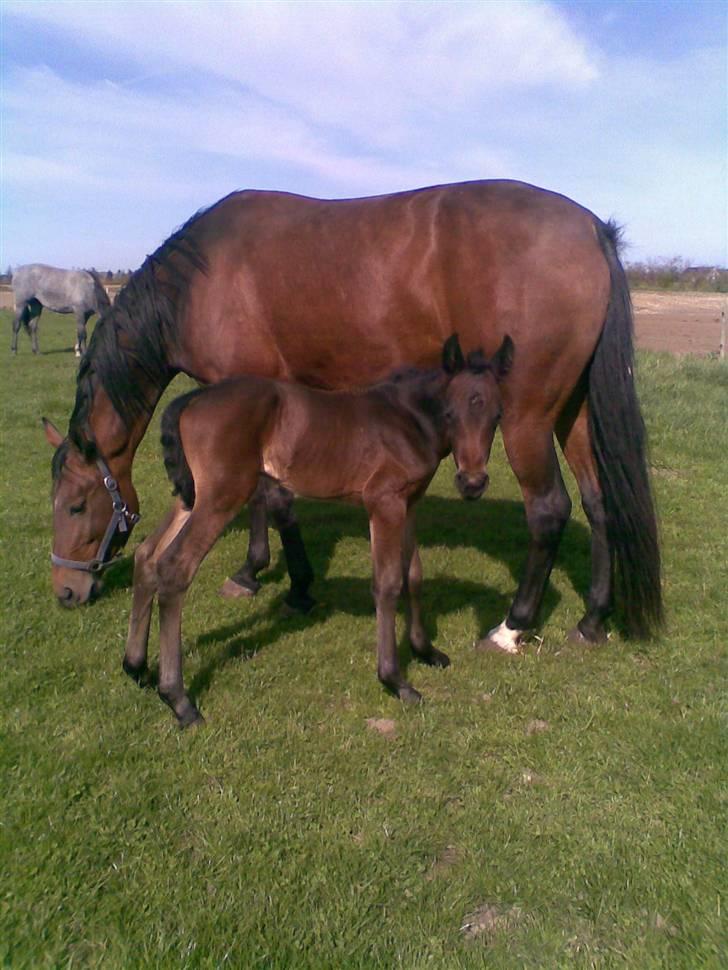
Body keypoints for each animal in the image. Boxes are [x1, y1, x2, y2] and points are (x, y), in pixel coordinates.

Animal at [123, 336, 512, 724]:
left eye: (497, 417)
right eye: (450, 413)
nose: (472, 483)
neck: (407, 420)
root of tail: (191, 399)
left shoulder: (409, 503)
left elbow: (413, 574)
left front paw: (425, 651)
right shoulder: (383, 503)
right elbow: (387, 583)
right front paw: (395, 680)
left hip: (192, 495)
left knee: (147, 554)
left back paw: (137, 667)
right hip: (222, 495)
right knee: (174, 566)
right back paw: (179, 699)